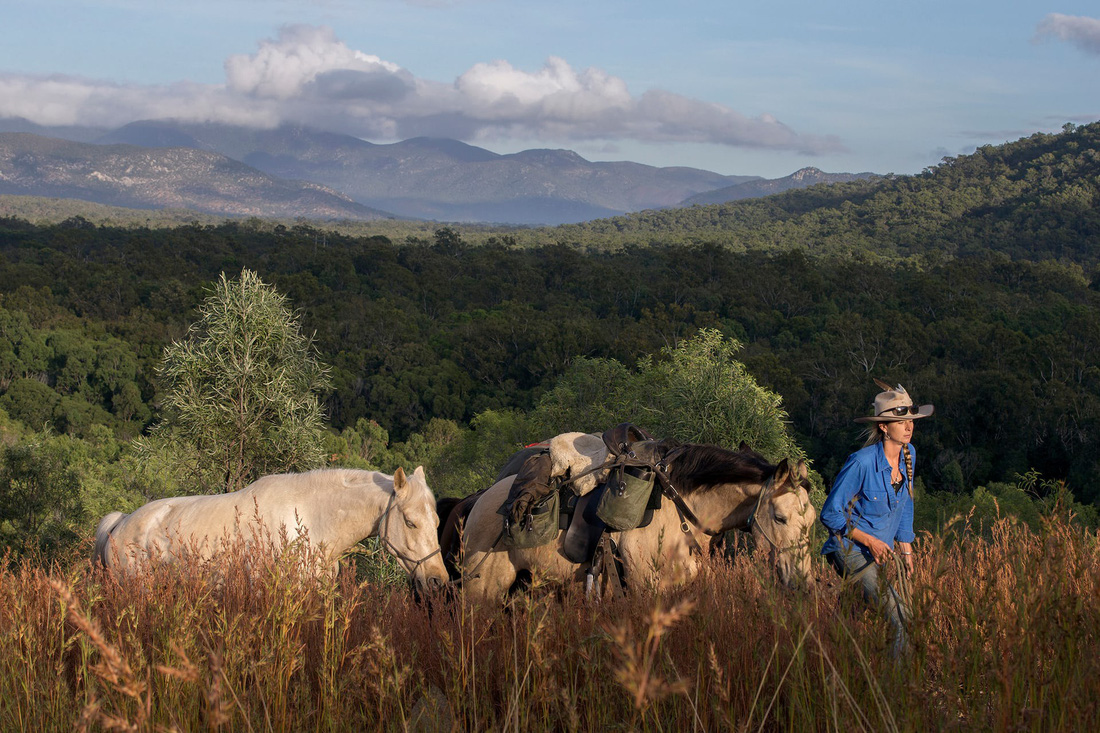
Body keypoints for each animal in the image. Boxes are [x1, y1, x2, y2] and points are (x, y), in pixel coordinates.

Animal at [446, 440, 818, 598]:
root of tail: (480, 500)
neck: (680, 516)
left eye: (812, 521)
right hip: (482, 591)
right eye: (780, 518)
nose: (803, 583)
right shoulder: (645, 589)